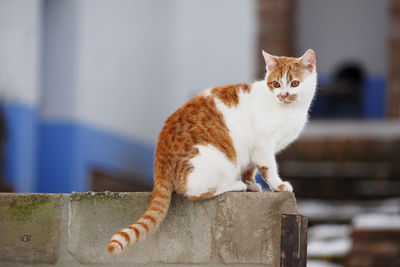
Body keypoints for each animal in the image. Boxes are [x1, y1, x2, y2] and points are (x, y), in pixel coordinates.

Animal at [106, 48, 316, 255]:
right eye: (276, 84)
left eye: (295, 83)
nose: (284, 95)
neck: (288, 110)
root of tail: (160, 154)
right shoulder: (263, 144)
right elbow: (268, 168)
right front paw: (277, 185)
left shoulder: (252, 151)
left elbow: (250, 168)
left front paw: (252, 184)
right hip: (216, 161)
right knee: (194, 192)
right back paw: (235, 185)